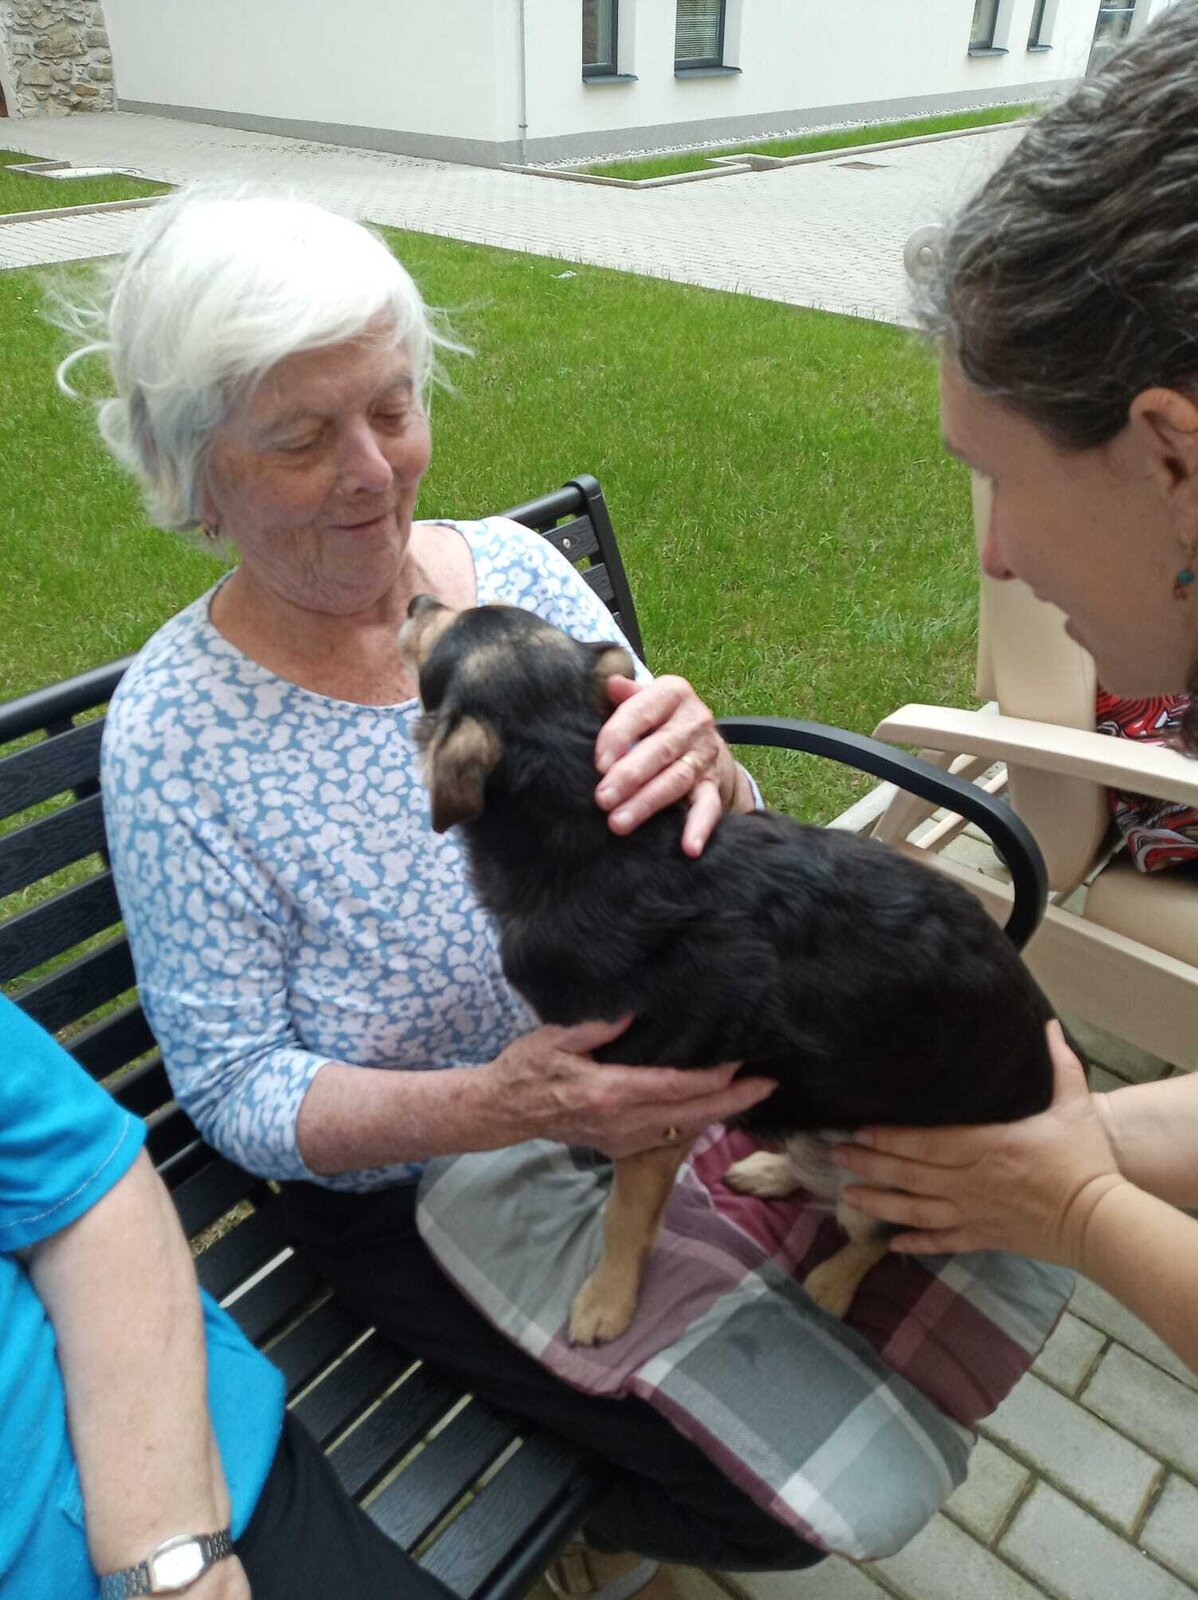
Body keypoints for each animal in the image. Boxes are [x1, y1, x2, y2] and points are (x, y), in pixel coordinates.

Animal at [398, 597, 1059, 1343]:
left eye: (443, 631)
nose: (417, 600)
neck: (592, 840)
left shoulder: (655, 1109)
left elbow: (624, 1218)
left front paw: (607, 1300)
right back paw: (772, 1169)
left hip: (895, 1179)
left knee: (879, 1237)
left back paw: (833, 1282)